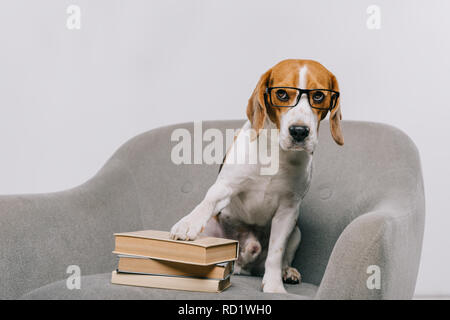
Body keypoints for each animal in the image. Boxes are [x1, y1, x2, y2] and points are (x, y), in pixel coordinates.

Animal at [171, 59, 342, 292]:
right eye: (281, 94)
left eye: (318, 96)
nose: (299, 131)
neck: (275, 151)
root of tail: (243, 264)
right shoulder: (226, 186)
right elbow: (208, 202)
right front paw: (188, 222)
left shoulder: (288, 210)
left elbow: (276, 254)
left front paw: (274, 286)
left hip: (296, 232)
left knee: (278, 259)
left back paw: (286, 272)